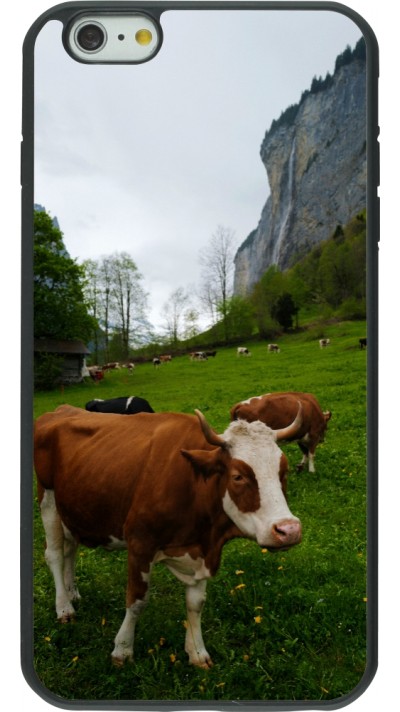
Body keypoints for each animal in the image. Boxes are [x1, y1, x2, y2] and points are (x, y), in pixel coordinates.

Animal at [34, 404, 303, 669]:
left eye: (284, 471)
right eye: (238, 476)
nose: (289, 530)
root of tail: (61, 410)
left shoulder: (202, 550)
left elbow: (196, 603)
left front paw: (197, 652)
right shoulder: (140, 543)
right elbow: (137, 600)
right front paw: (122, 649)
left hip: (72, 509)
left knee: (70, 550)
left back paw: (72, 593)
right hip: (48, 500)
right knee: (55, 554)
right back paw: (64, 607)